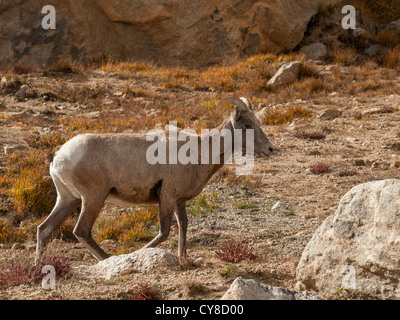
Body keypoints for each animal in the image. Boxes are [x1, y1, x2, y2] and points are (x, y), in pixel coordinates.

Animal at [36, 97, 274, 262]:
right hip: (93, 199)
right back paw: (108, 259)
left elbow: (183, 226)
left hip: (69, 199)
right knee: (81, 230)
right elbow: (164, 233)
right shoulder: (166, 198)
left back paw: (39, 266)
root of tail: (58, 155)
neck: (200, 151)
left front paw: (184, 259)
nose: (270, 149)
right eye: (247, 126)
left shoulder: (179, 201)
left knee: (44, 229)